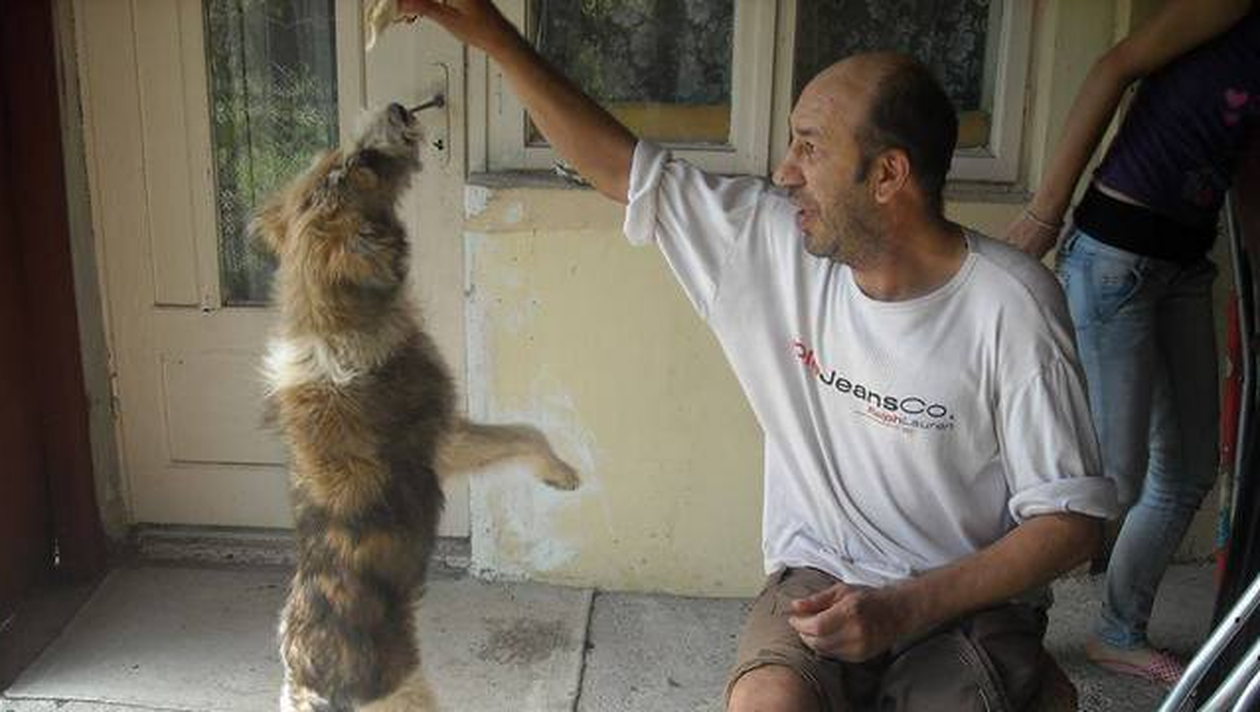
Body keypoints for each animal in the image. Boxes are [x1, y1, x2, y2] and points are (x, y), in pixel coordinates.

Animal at [254, 103, 579, 711]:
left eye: (341, 157)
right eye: (364, 163)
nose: (401, 108)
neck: (330, 315)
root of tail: (315, 684)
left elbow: (525, 430)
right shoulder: (448, 440)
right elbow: (527, 432)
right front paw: (562, 473)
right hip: (412, 694)